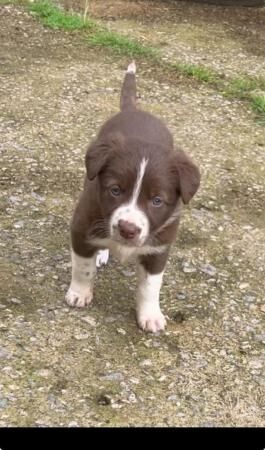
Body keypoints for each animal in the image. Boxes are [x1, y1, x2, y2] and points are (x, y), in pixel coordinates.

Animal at [65, 61, 199, 332]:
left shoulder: (159, 247)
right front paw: (79, 294)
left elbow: (150, 286)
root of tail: (135, 110)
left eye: (157, 201)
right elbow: (83, 268)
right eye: (115, 190)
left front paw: (151, 315)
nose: (127, 229)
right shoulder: (81, 227)